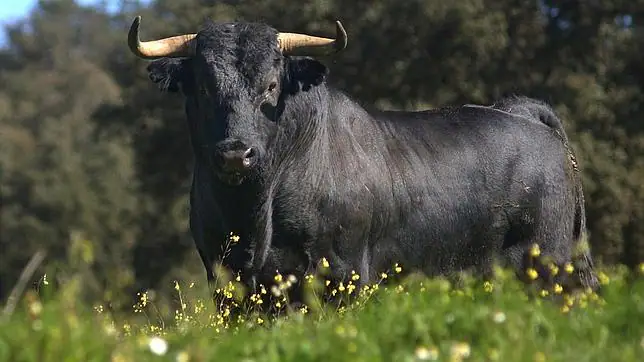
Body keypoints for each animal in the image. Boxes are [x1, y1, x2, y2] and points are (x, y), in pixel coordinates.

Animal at [128, 17, 600, 300]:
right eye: (203, 86)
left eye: (271, 85)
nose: (234, 154)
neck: (256, 213)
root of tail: (525, 114)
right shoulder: (227, 281)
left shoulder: (344, 273)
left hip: (554, 266)